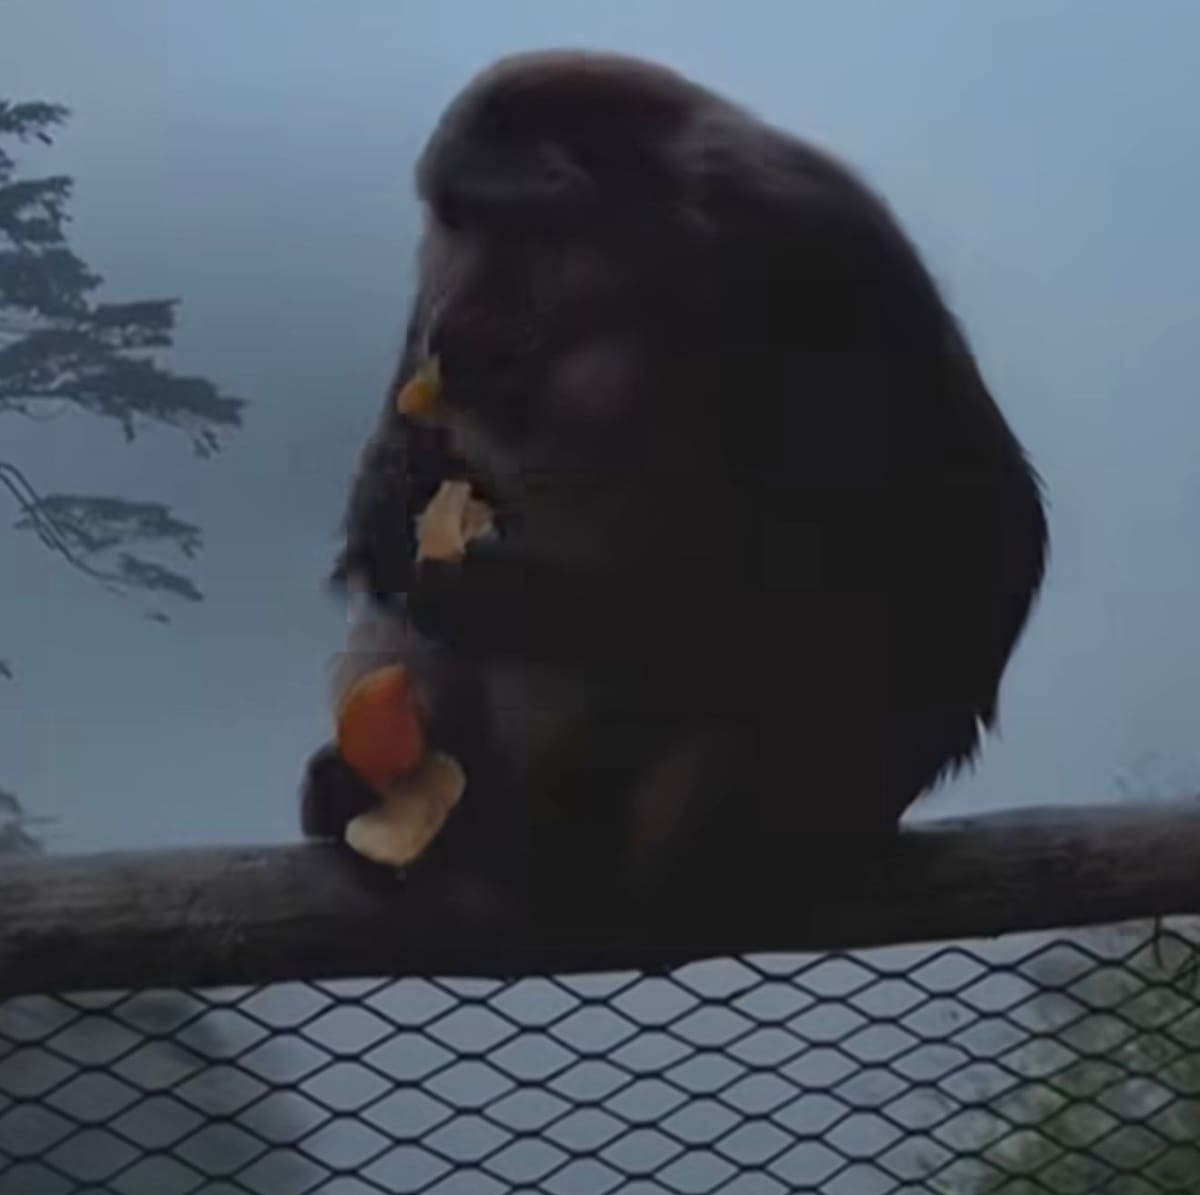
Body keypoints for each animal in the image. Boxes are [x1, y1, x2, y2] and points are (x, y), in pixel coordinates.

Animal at [300, 50, 1048, 942]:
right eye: (456, 223)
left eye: (514, 226)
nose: (454, 315)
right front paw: (393, 490)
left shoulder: (823, 254)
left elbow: (972, 557)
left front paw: (518, 597)